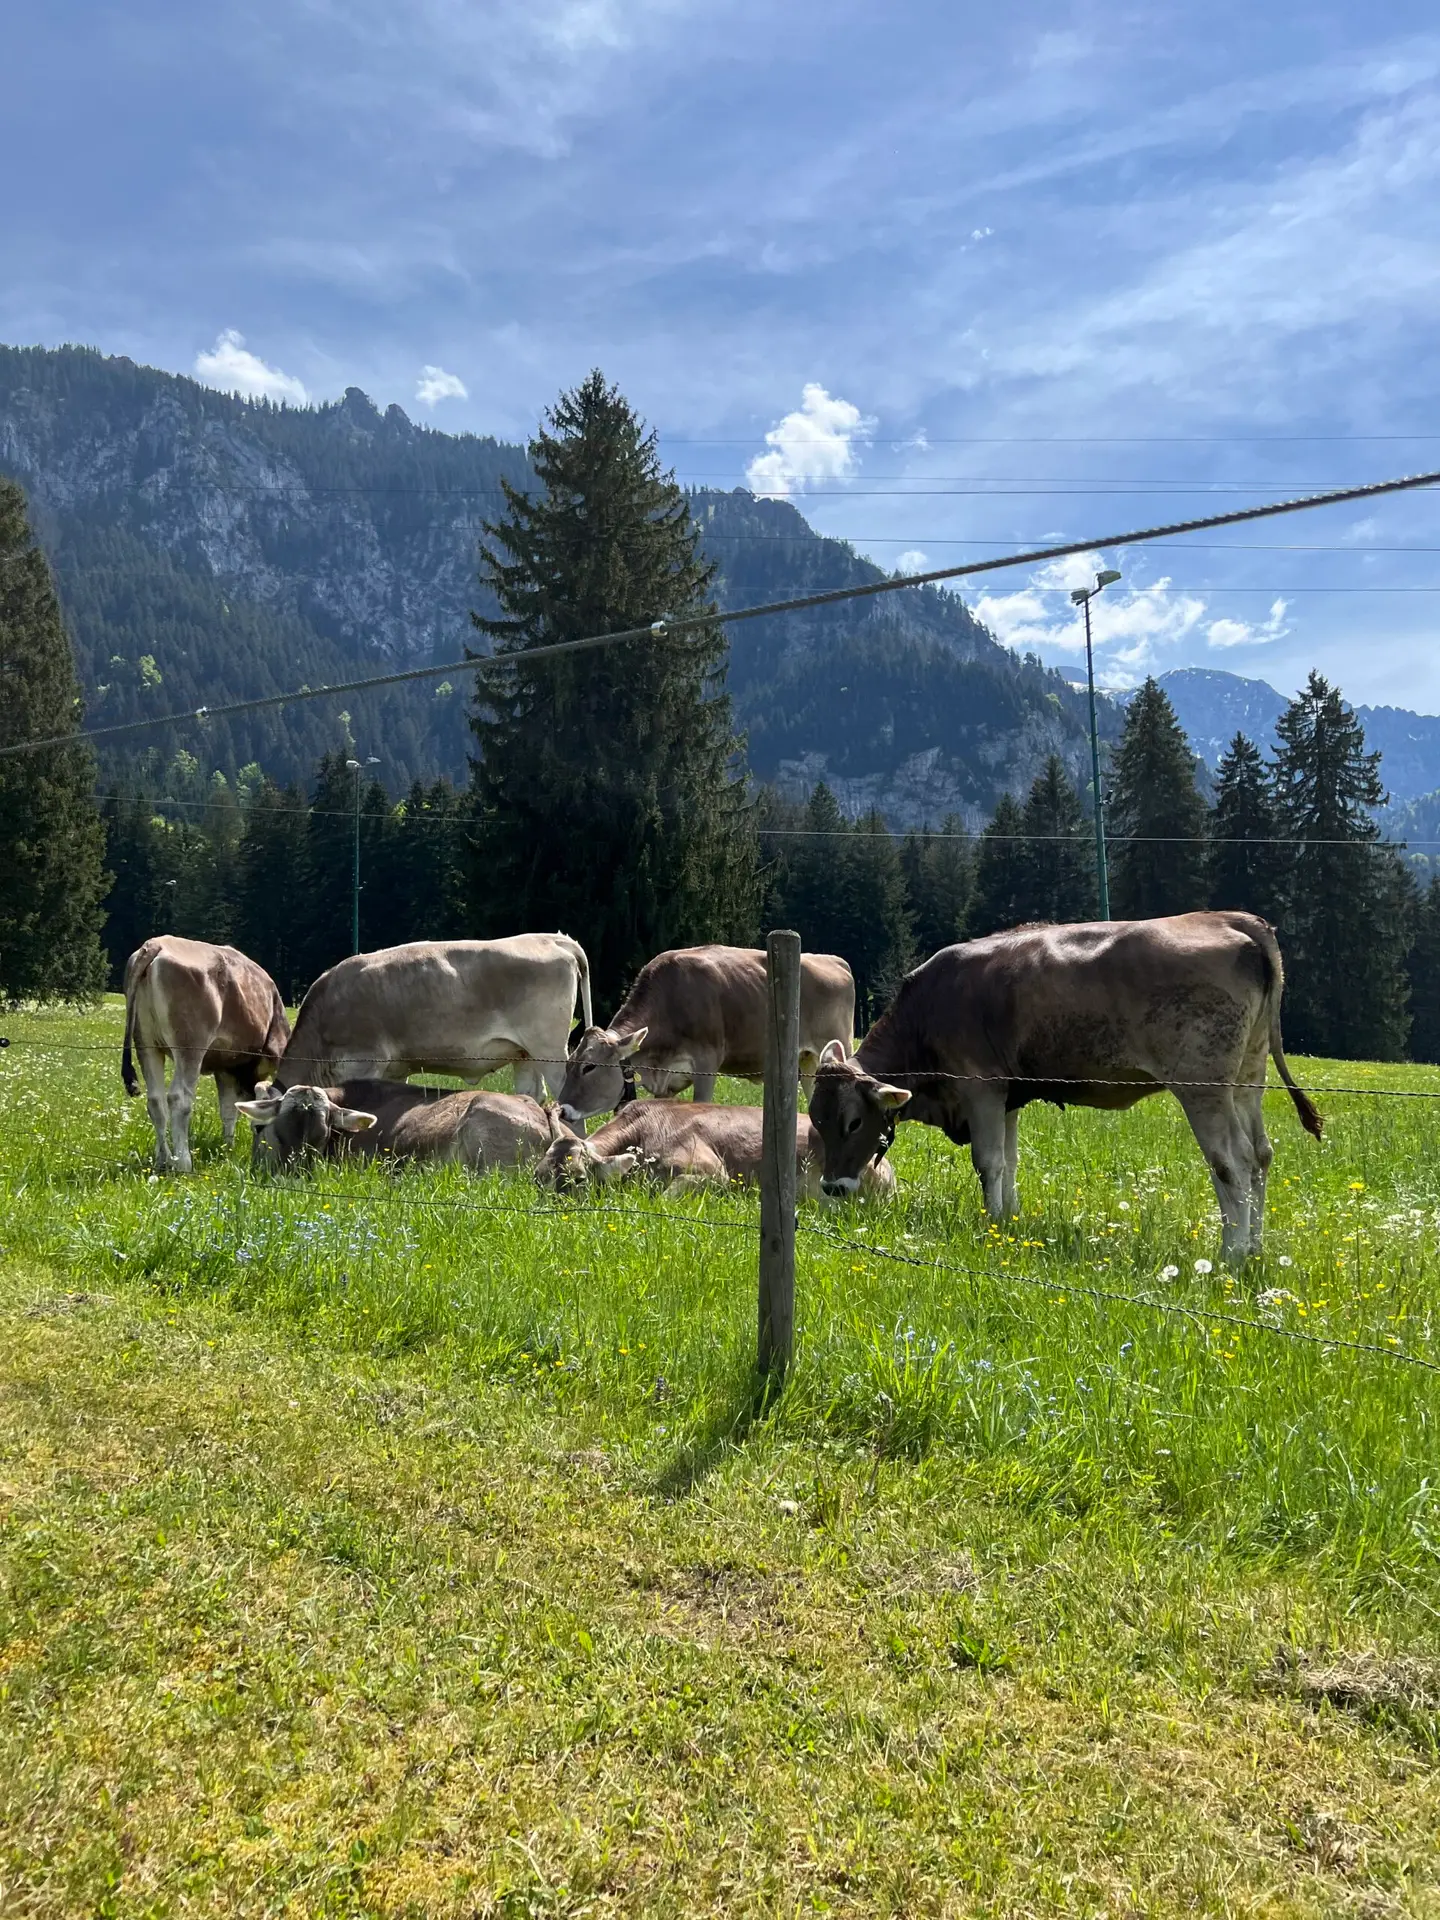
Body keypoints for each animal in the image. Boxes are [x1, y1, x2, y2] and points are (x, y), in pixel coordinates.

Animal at [121, 936, 290, 1173]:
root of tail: (157, 943)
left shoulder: (226, 1067)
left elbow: (228, 1109)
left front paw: (228, 1149)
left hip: (146, 1044)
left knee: (155, 1101)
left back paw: (163, 1159)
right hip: (190, 1046)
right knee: (179, 1098)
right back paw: (183, 1162)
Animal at [556, 944, 855, 1124]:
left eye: (589, 1067)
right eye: (568, 1064)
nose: (561, 1109)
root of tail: (834, 960)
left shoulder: (706, 1063)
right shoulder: (664, 1082)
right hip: (808, 1061)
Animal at [807, 912, 1322, 1264]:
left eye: (853, 1122)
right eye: (815, 1120)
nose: (832, 1187)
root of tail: (1230, 918)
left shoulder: (980, 1088)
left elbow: (988, 1162)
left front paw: (990, 1224)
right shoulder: (1007, 1096)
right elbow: (1009, 1162)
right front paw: (1007, 1221)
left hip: (1203, 1086)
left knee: (1232, 1162)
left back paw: (1230, 1256)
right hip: (1248, 1077)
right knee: (1261, 1155)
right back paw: (1255, 1249)